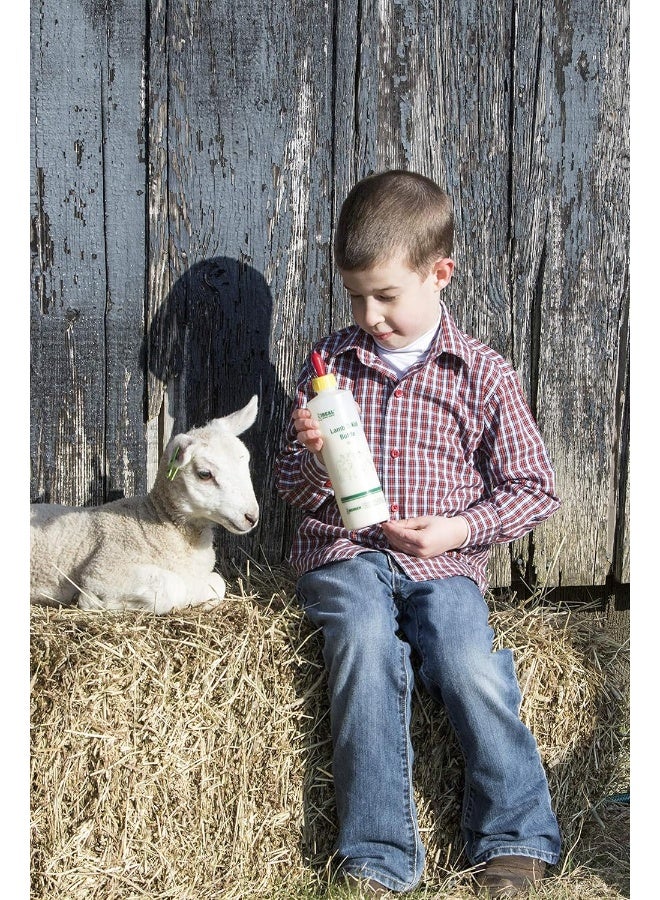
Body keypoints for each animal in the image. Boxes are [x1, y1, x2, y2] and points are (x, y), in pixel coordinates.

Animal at [30, 396, 260, 614]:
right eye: (205, 474)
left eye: (246, 462)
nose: (252, 517)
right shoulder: (103, 570)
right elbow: (173, 587)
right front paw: (95, 602)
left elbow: (218, 584)